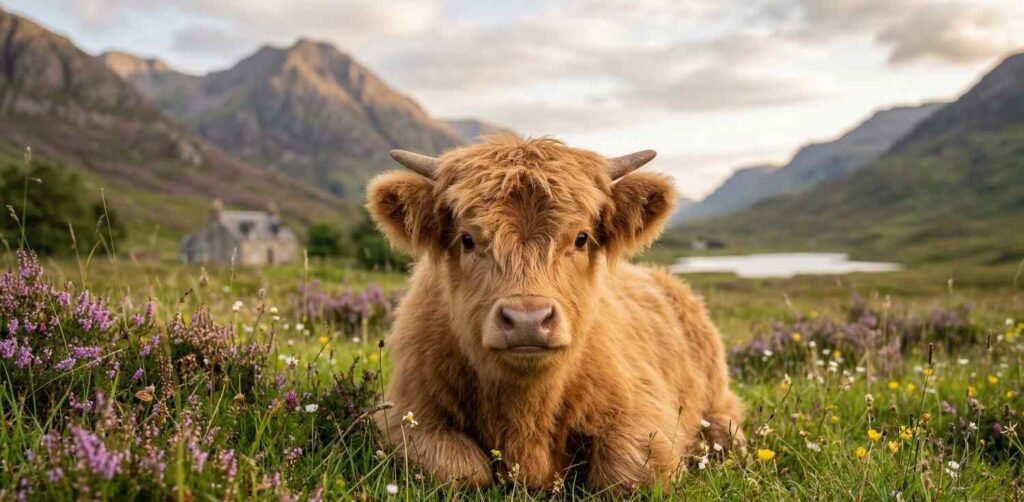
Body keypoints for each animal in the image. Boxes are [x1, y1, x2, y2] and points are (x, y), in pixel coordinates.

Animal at [368, 136, 744, 492]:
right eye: (467, 239)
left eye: (581, 238)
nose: (527, 321)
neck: (526, 412)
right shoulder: (406, 415)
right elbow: (462, 470)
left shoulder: (645, 414)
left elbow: (626, 473)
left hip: (716, 393)